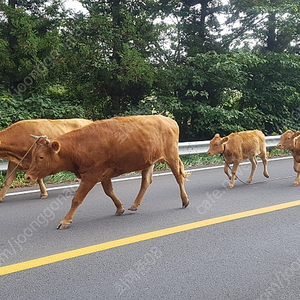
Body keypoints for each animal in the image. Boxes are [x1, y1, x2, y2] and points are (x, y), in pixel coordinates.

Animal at [25, 115, 190, 230]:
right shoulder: (103, 175)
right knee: (146, 182)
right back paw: (134, 205)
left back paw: (185, 200)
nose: (27, 176)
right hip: (148, 161)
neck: (79, 146)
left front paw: (65, 221)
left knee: (178, 177)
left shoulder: (90, 176)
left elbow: (77, 199)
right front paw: (120, 208)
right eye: (33, 154)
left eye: (41, 157)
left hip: (171, 156)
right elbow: (109, 192)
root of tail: (167, 119)